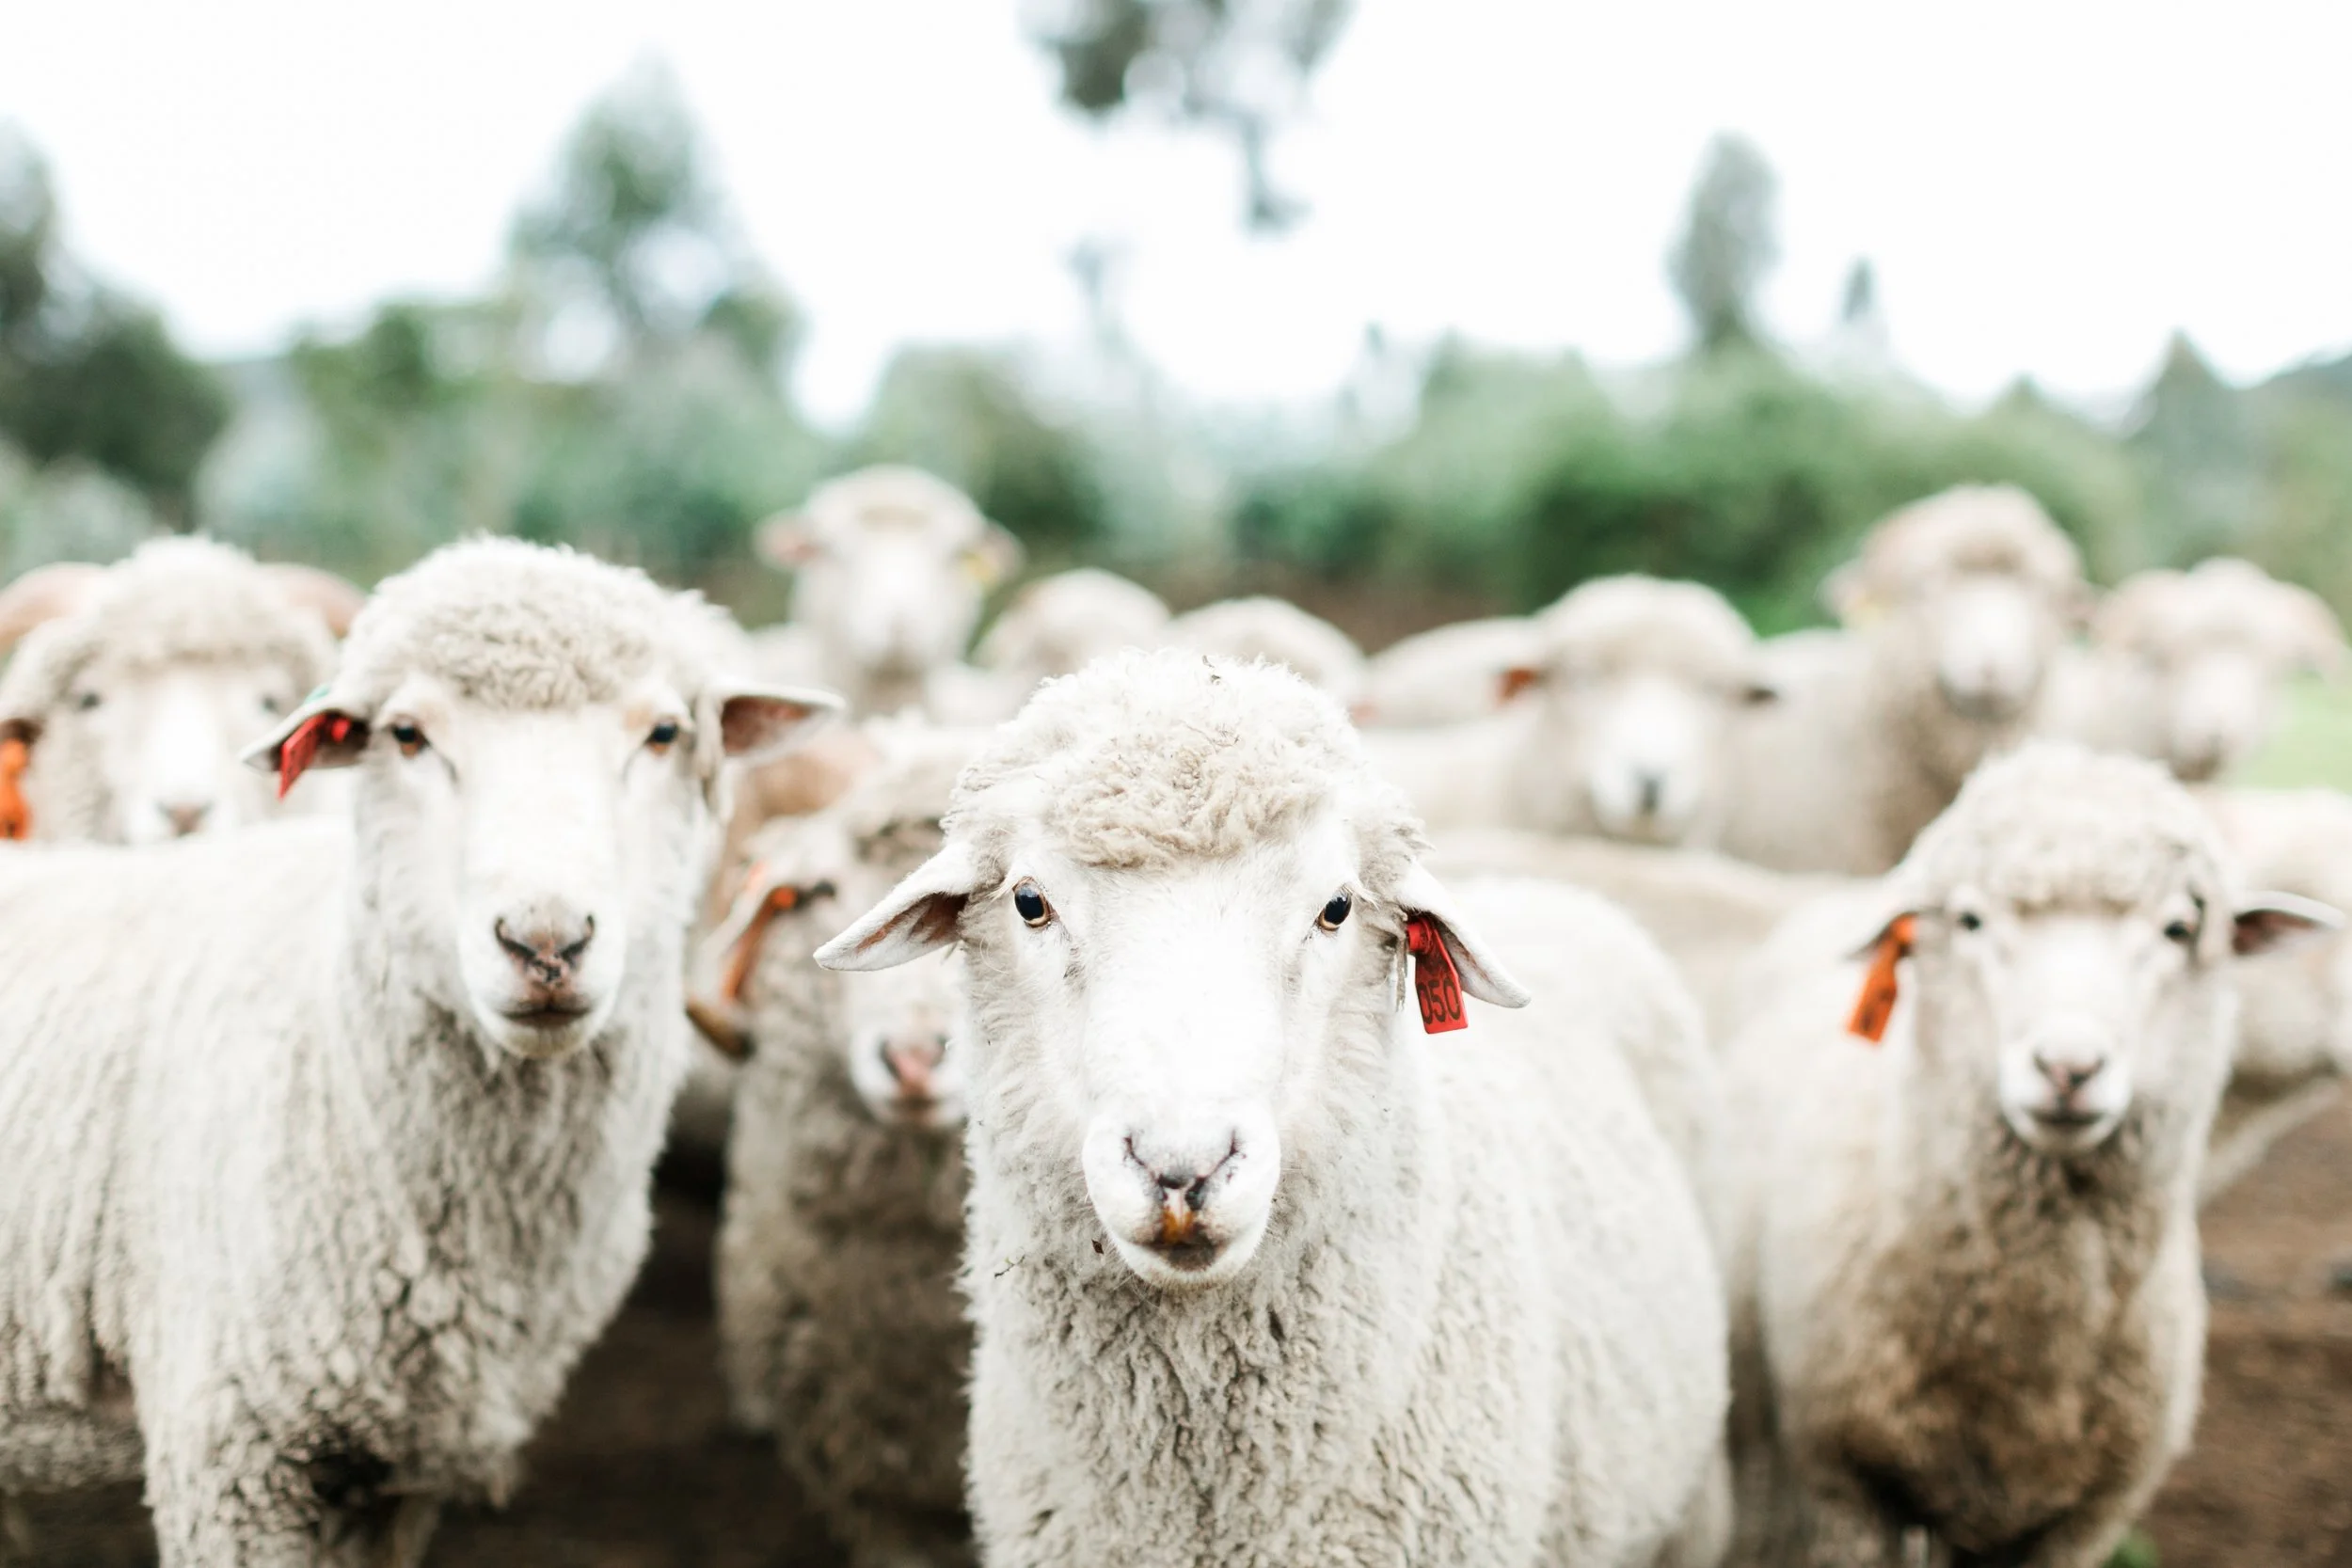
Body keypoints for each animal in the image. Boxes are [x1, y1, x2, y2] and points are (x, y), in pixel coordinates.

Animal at [1714, 743, 2334, 1567]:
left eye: (2179, 928)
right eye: (1970, 920)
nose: (2068, 1066)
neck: (2027, 1355)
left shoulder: (2079, 1520)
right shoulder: (1848, 1487)